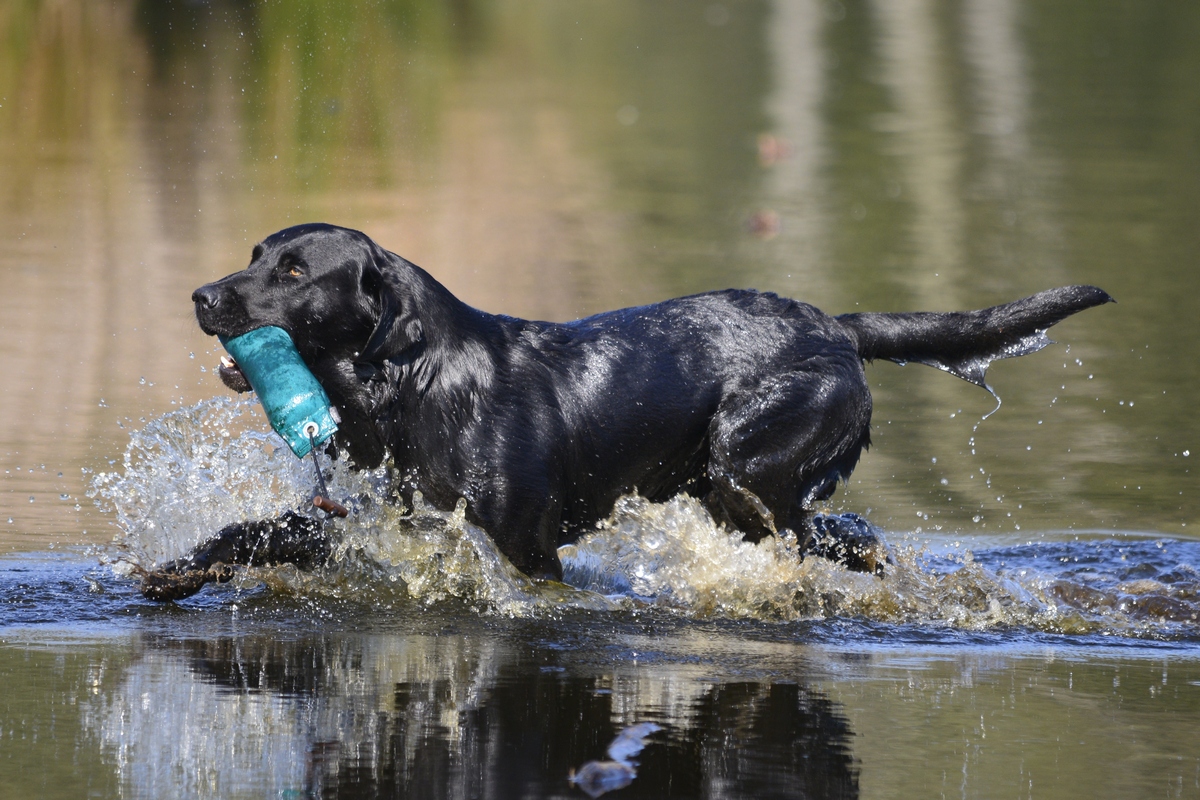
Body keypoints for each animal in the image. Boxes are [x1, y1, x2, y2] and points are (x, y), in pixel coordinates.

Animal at [138, 220, 1104, 599]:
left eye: (296, 272)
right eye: (253, 253)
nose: (199, 295)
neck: (409, 385)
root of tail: (837, 327)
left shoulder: (525, 550)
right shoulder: (369, 520)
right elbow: (256, 532)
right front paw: (176, 570)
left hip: (748, 468)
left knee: (822, 534)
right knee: (843, 536)